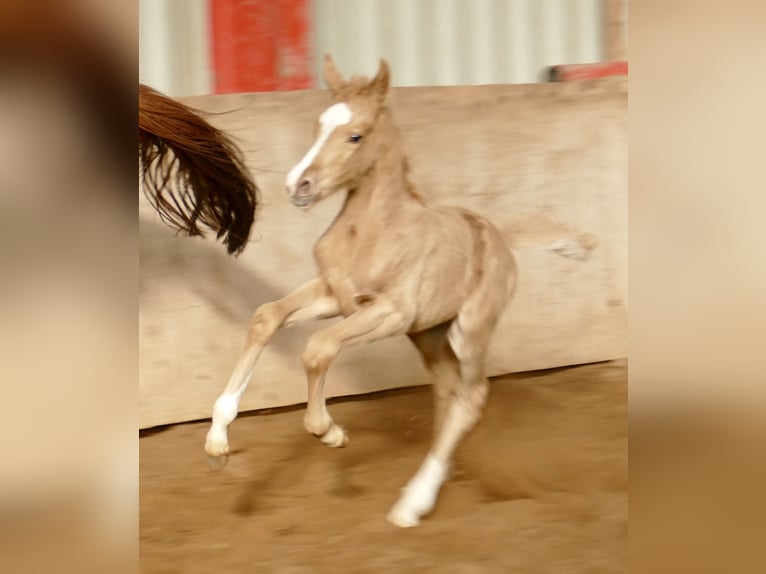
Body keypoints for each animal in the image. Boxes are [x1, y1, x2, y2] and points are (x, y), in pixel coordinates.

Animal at [204, 56, 520, 528]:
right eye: (318, 125)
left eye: (356, 135)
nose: (298, 185)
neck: (373, 232)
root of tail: (499, 242)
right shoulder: (334, 295)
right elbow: (266, 316)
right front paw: (218, 440)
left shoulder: (390, 311)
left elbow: (318, 348)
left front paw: (329, 432)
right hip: (428, 334)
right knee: (447, 390)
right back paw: (434, 477)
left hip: (468, 330)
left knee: (471, 396)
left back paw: (413, 502)